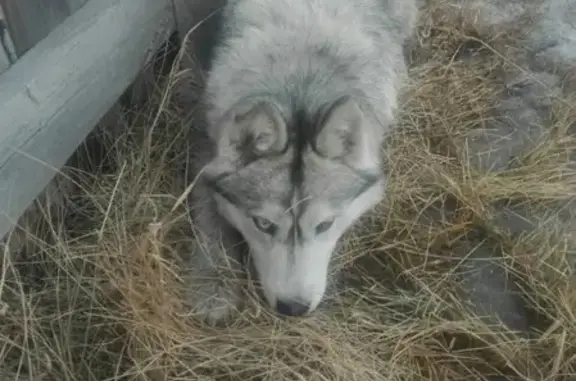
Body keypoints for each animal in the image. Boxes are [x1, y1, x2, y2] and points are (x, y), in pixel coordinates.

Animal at [184, 0, 418, 324]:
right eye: (263, 224)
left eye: (325, 225)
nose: (293, 307)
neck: (300, 92)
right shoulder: (206, 148)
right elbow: (209, 219)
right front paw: (213, 284)